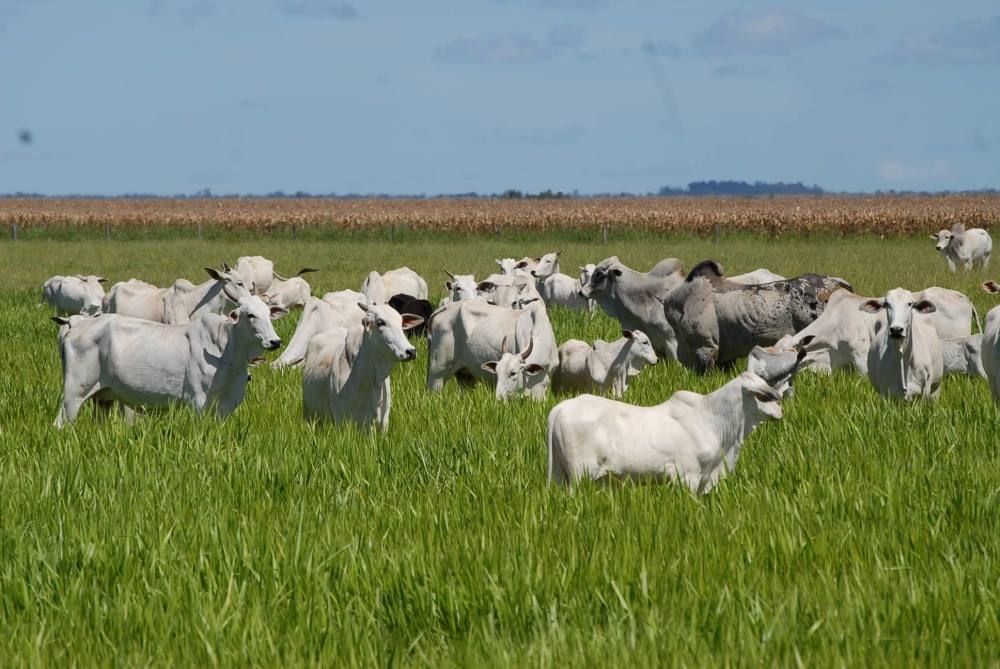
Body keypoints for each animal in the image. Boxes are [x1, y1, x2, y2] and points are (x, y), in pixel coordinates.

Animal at [53, 288, 284, 426]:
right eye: (250, 315)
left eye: (268, 314)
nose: (275, 341)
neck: (226, 351)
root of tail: (74, 326)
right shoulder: (198, 402)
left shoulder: (226, 406)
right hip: (74, 394)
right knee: (61, 422)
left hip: (103, 399)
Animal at [298, 302, 420, 430]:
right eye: (380, 322)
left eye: (401, 323)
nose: (411, 351)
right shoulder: (341, 421)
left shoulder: (383, 425)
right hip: (309, 414)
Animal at [426, 296, 560, 396]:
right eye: (497, 372)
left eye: (513, 373)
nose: (499, 397)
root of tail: (447, 307)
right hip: (437, 370)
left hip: (465, 375)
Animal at [548, 370, 788, 490]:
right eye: (762, 396)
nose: (780, 411)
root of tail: (562, 407)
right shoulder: (688, 476)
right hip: (580, 475)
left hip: (561, 476)